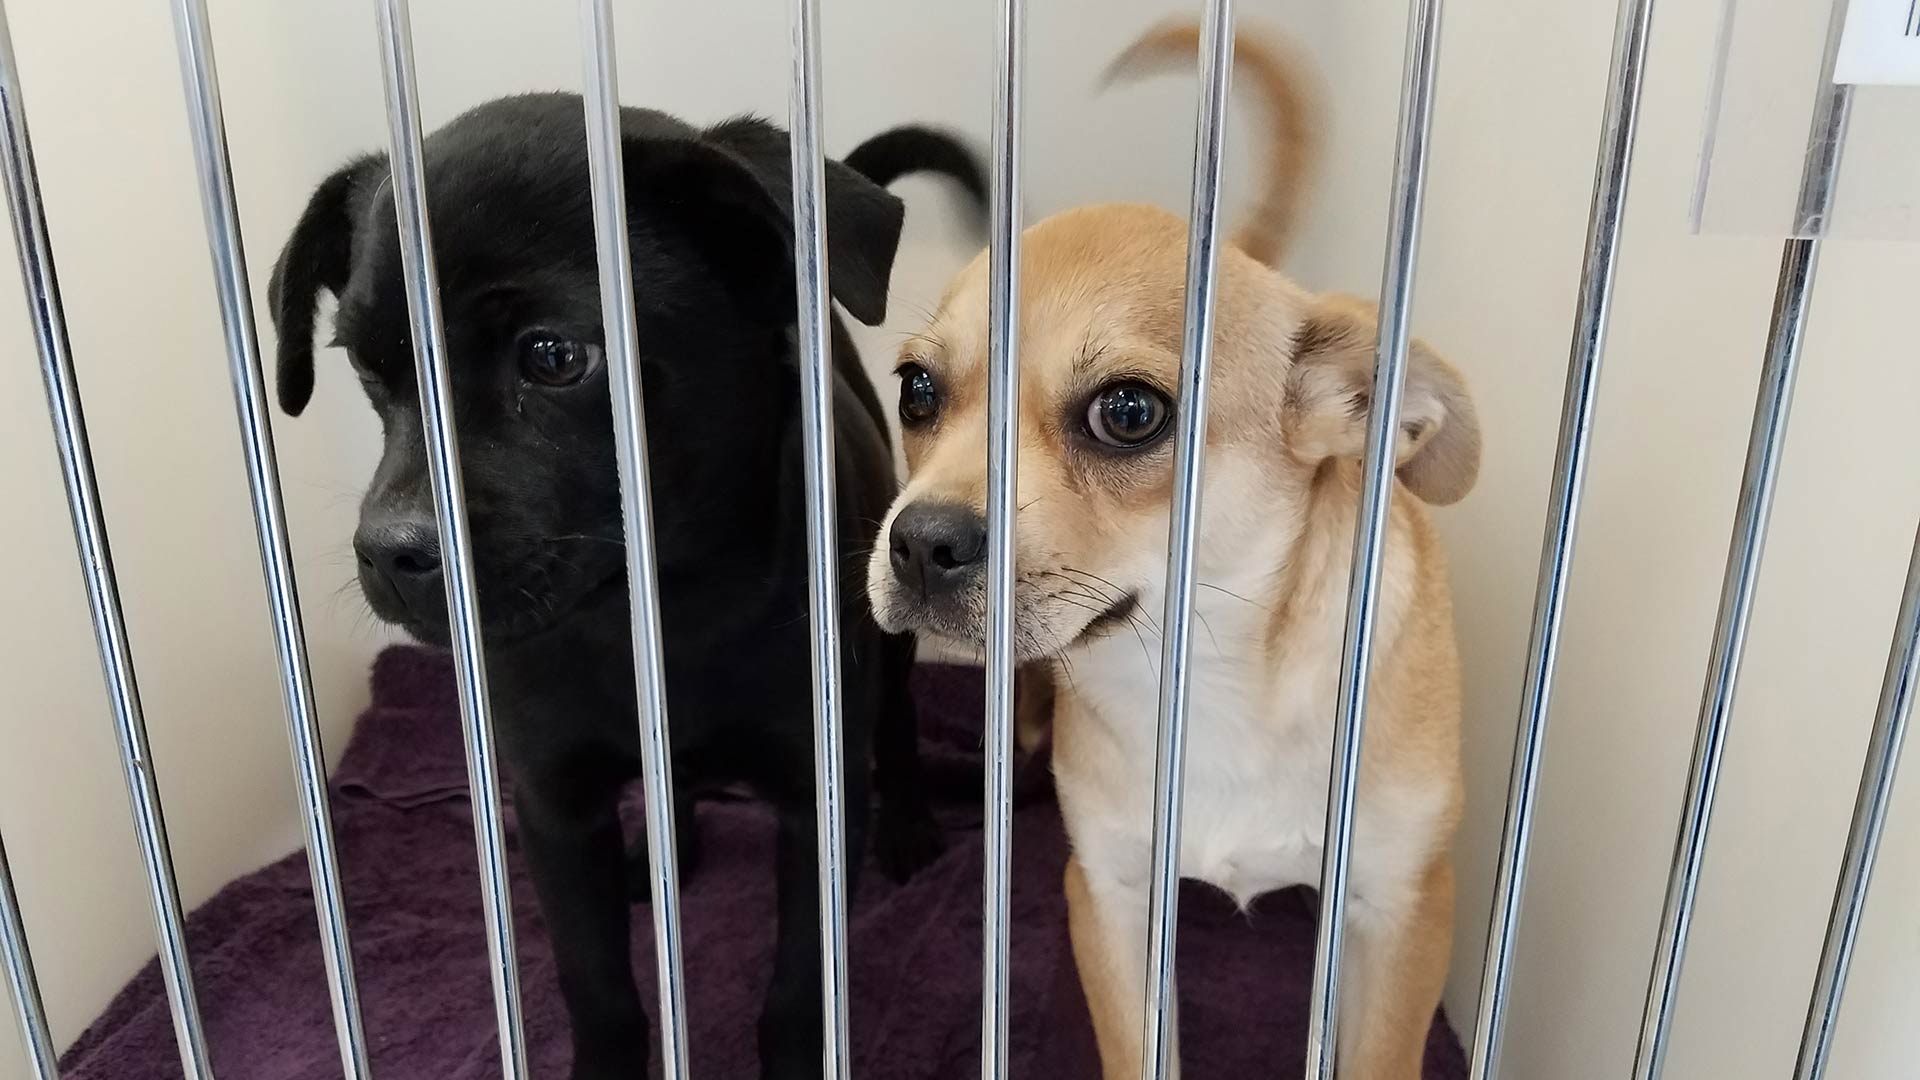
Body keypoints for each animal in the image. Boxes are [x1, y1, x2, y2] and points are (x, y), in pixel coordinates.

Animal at [270, 96, 983, 1068]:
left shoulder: (817, 799)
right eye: (368, 367)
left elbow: (800, 991)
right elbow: (598, 989)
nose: (390, 555)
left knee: (900, 721)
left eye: (555, 357)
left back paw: (909, 824)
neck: (658, 611)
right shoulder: (554, 805)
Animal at [864, 18, 1474, 1076]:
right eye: (918, 391)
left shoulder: (1403, 911)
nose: (920, 542)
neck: (1212, 679)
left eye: (1129, 412)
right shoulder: (1111, 896)